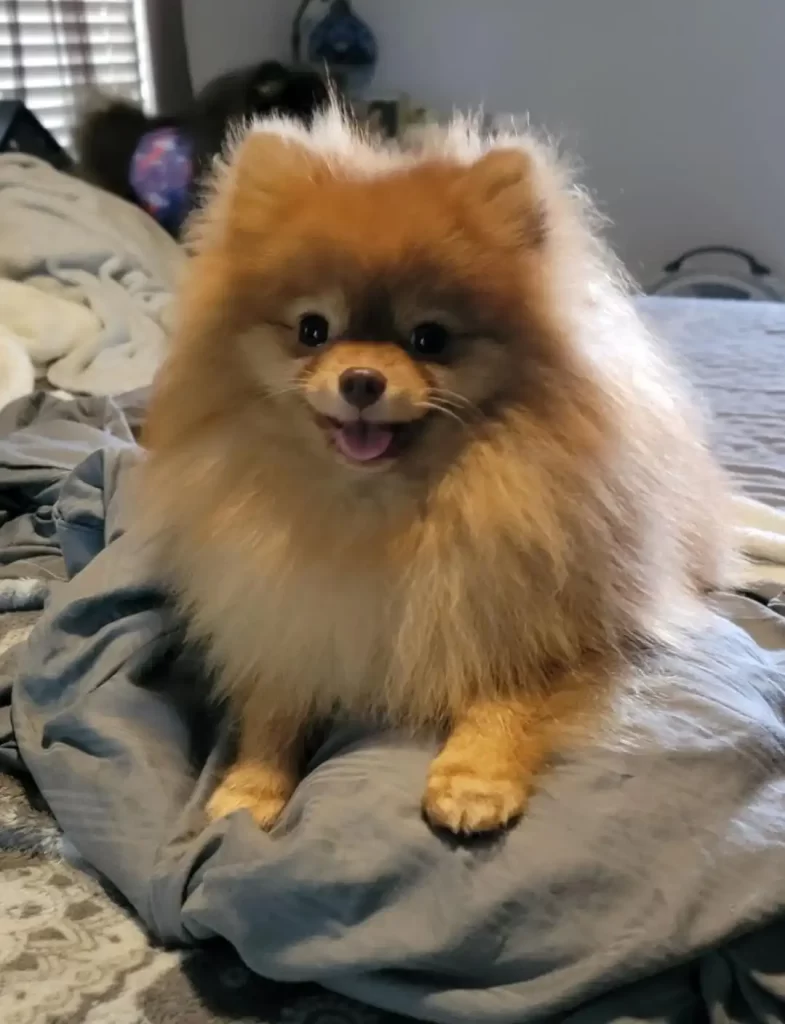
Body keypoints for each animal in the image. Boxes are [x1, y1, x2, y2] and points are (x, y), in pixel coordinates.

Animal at [139, 108, 728, 835]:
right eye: (312, 330)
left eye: (430, 339)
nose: (361, 379)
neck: (376, 513)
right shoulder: (283, 614)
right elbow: (272, 707)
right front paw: (251, 787)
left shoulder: (545, 619)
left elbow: (507, 695)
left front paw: (474, 780)